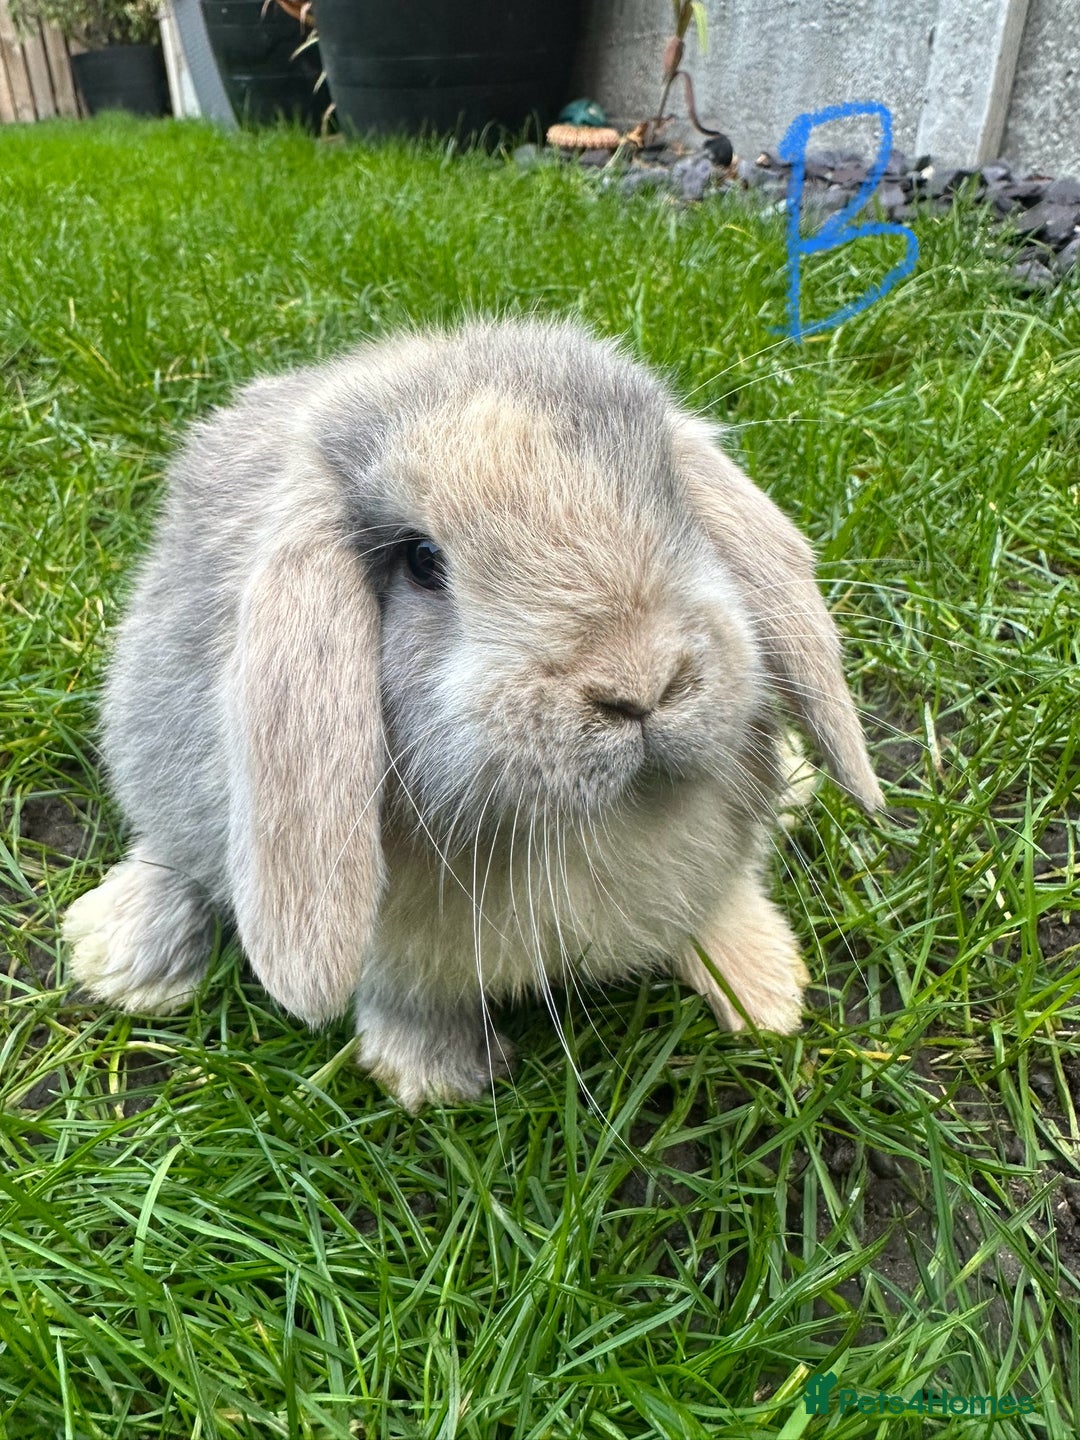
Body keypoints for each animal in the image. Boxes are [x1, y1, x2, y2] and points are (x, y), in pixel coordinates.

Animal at [64, 316, 881, 1110]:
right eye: (423, 561)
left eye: (669, 496)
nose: (642, 685)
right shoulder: (399, 959)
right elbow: (408, 1002)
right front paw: (434, 1080)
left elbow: (721, 903)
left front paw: (769, 996)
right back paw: (119, 956)